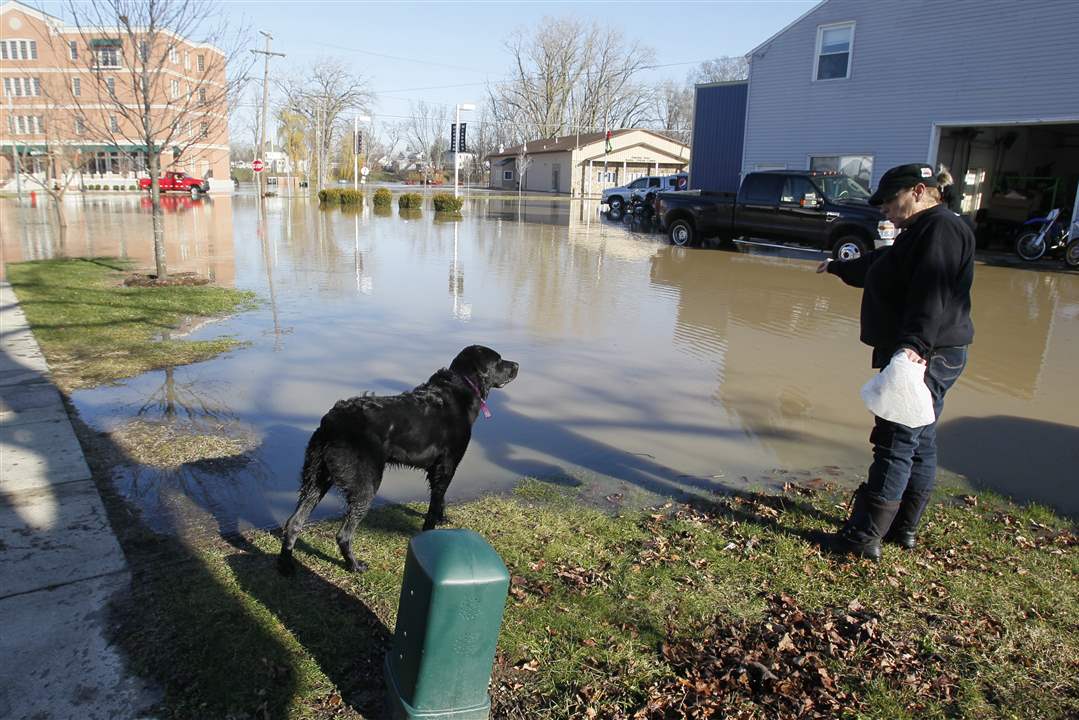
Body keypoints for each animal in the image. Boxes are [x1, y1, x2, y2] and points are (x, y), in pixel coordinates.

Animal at [276, 343, 515, 574]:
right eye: (499, 361)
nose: (517, 365)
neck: (459, 389)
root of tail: (331, 423)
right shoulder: (447, 465)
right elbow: (435, 504)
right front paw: (430, 533)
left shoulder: (439, 468)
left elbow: (440, 499)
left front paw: (442, 518)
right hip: (365, 485)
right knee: (343, 535)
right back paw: (354, 566)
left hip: (318, 477)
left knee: (293, 523)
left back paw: (286, 565)